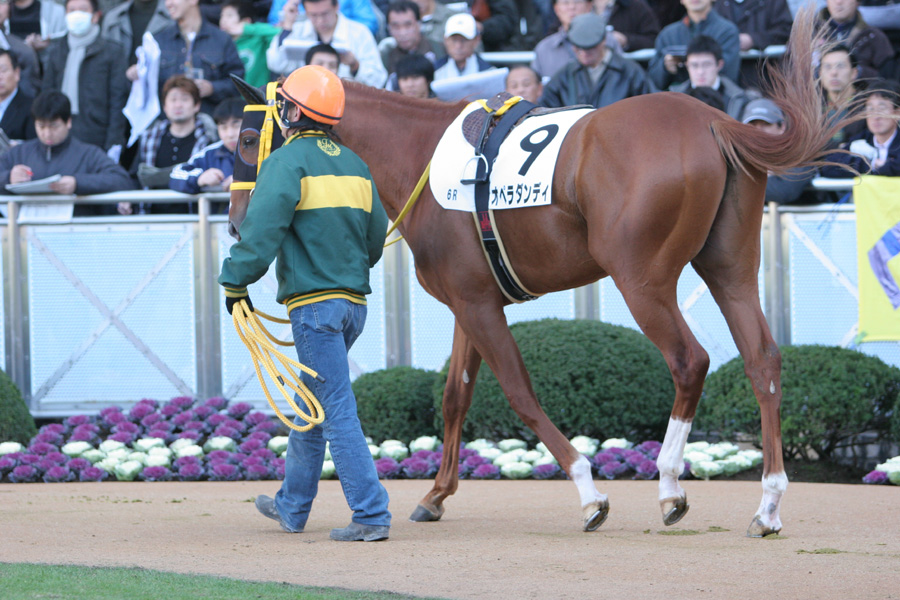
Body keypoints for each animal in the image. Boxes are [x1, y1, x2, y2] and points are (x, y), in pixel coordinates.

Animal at [228, 8, 859, 537]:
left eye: (244, 137)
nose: (236, 224)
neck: (421, 152)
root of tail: (711, 122)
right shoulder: (470, 301)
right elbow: (455, 395)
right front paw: (434, 495)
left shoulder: (478, 306)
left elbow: (519, 392)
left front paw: (588, 492)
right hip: (730, 270)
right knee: (763, 360)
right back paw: (768, 504)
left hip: (642, 281)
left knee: (690, 361)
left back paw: (669, 485)